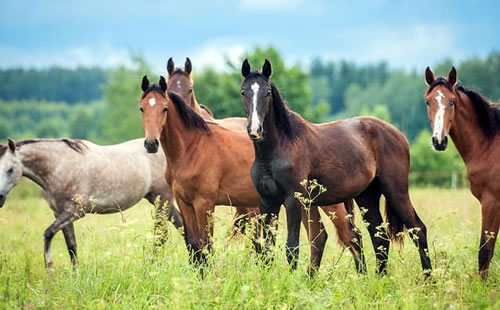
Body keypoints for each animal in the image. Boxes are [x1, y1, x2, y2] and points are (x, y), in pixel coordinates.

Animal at [0, 137, 184, 268]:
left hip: (163, 200)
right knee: (180, 225)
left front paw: (50, 272)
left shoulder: (75, 211)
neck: (59, 166)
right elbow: (71, 246)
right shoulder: (59, 213)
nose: (0, 198)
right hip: (157, 199)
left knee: (162, 234)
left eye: (10, 169)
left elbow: (48, 233)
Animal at [139, 75, 366, 274]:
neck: (192, 148)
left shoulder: (204, 203)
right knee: (319, 237)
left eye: (164, 108)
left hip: (330, 204)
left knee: (351, 237)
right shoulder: (185, 203)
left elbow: (206, 245)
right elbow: (194, 246)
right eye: (141, 108)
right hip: (307, 203)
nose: (151, 144)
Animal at [240, 59, 432, 274]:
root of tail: (399, 135)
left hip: (396, 191)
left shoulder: (293, 201)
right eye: (243, 92)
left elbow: (292, 247)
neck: (278, 149)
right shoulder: (267, 202)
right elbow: (266, 248)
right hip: (367, 196)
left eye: (267, 93)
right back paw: (380, 278)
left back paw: (428, 278)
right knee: (379, 236)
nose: (255, 130)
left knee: (418, 229)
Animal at [426, 65, 500, 278]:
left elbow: (485, 252)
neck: (489, 145)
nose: (439, 141)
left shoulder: (491, 203)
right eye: (428, 101)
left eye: (452, 101)